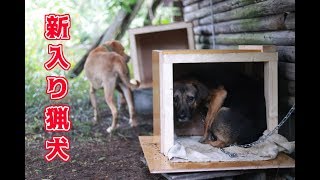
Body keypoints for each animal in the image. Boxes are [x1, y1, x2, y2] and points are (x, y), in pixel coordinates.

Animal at [138, 45, 296, 174]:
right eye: (174, 99)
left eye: (190, 98)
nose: (181, 117)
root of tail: (249, 138)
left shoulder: (220, 95)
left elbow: (208, 120)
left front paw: (204, 137)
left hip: (223, 111)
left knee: (222, 143)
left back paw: (210, 142)